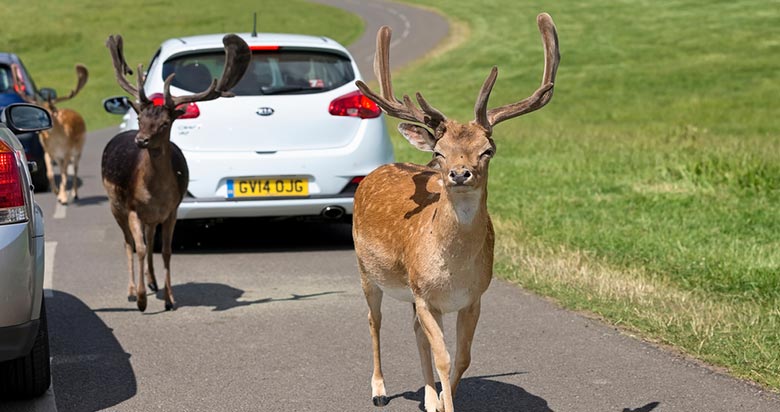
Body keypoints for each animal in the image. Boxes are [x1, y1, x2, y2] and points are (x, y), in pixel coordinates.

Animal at [13, 63, 87, 204]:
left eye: (52, 112)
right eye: (37, 114)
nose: (42, 129)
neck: (57, 142)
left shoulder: (67, 152)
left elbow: (64, 174)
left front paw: (63, 197)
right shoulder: (48, 153)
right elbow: (50, 173)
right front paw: (56, 192)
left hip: (78, 150)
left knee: (75, 170)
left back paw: (75, 194)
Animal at [102, 34, 250, 312]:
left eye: (164, 123)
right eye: (141, 120)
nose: (141, 140)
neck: (154, 193)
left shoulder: (172, 209)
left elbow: (167, 251)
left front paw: (170, 299)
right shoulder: (133, 208)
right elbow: (138, 248)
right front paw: (141, 300)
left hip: (151, 216)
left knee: (150, 240)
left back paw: (153, 282)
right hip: (115, 204)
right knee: (128, 243)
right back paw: (132, 291)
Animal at [354, 12, 560, 412]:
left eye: (487, 150)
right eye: (439, 152)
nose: (459, 173)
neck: (453, 271)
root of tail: (375, 171)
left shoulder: (473, 297)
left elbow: (462, 357)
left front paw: (439, 401)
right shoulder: (424, 295)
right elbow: (444, 357)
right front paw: (440, 402)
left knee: (414, 332)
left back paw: (427, 397)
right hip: (366, 270)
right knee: (374, 320)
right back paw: (379, 390)